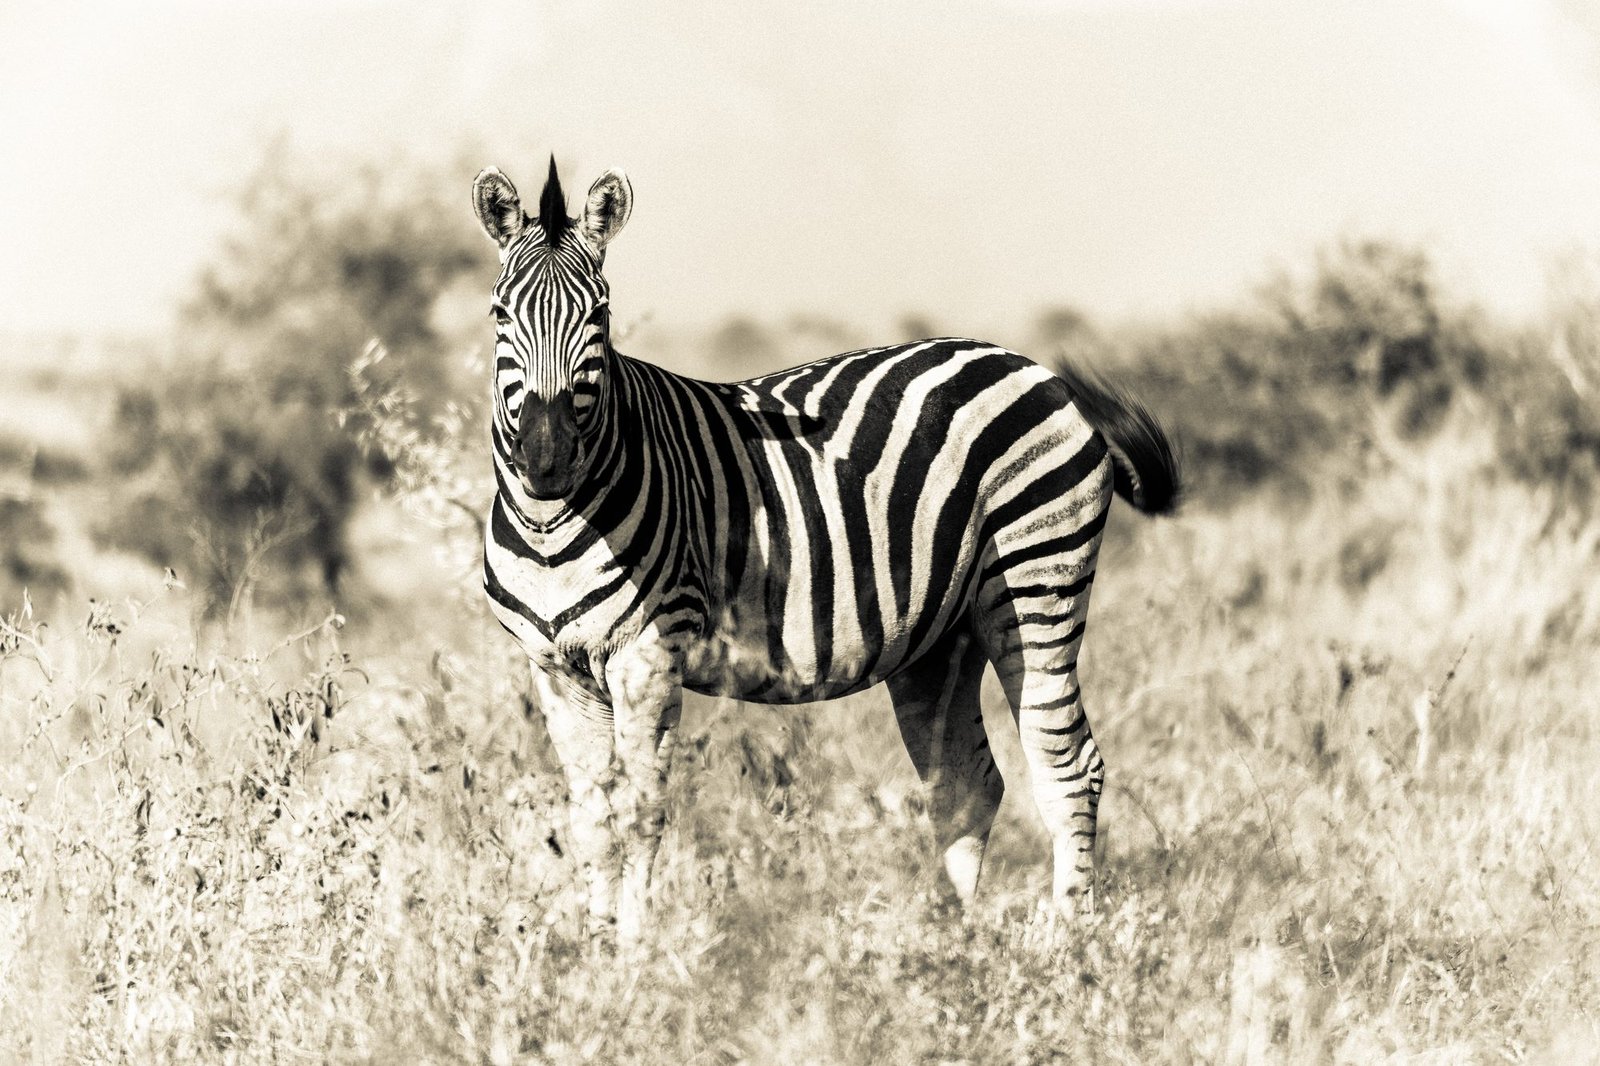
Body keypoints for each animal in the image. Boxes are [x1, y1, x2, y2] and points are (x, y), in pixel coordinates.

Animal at [472, 157, 1180, 941]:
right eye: (500, 315)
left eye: (599, 317)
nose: (546, 460)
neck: (554, 528)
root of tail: (1037, 370)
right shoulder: (554, 667)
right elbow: (594, 817)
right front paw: (592, 953)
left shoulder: (648, 652)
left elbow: (641, 809)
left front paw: (636, 951)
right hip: (941, 637)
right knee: (967, 784)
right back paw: (956, 946)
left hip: (1036, 581)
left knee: (1068, 766)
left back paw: (1067, 943)